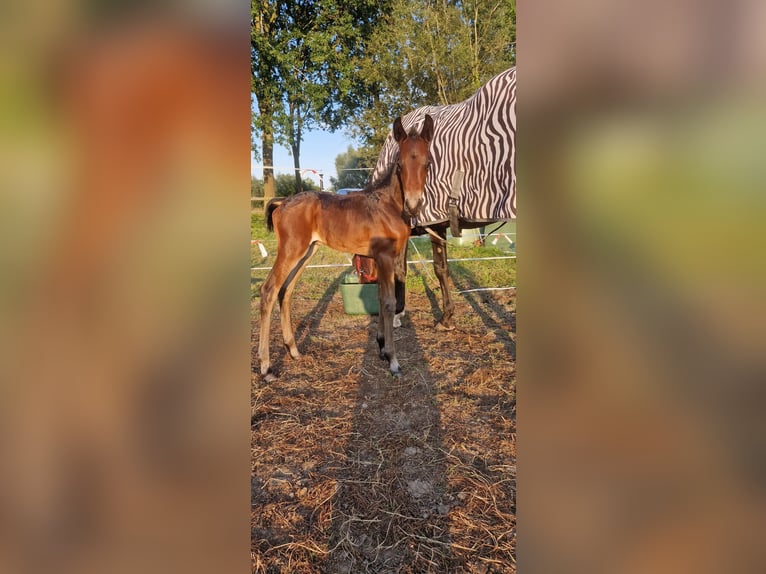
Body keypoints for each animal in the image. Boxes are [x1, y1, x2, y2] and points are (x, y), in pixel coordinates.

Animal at [260, 114, 436, 380]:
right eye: (400, 165)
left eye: (427, 163)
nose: (414, 204)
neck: (389, 205)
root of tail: (282, 202)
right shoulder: (385, 257)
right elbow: (388, 302)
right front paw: (393, 360)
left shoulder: (388, 257)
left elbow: (381, 297)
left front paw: (382, 348)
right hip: (291, 250)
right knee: (269, 290)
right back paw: (266, 368)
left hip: (306, 252)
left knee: (286, 291)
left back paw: (294, 351)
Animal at [372, 67, 516, 330]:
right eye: (399, 165)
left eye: (429, 164)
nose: (413, 205)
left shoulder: (434, 224)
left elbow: (426, 269)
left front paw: (406, 313)